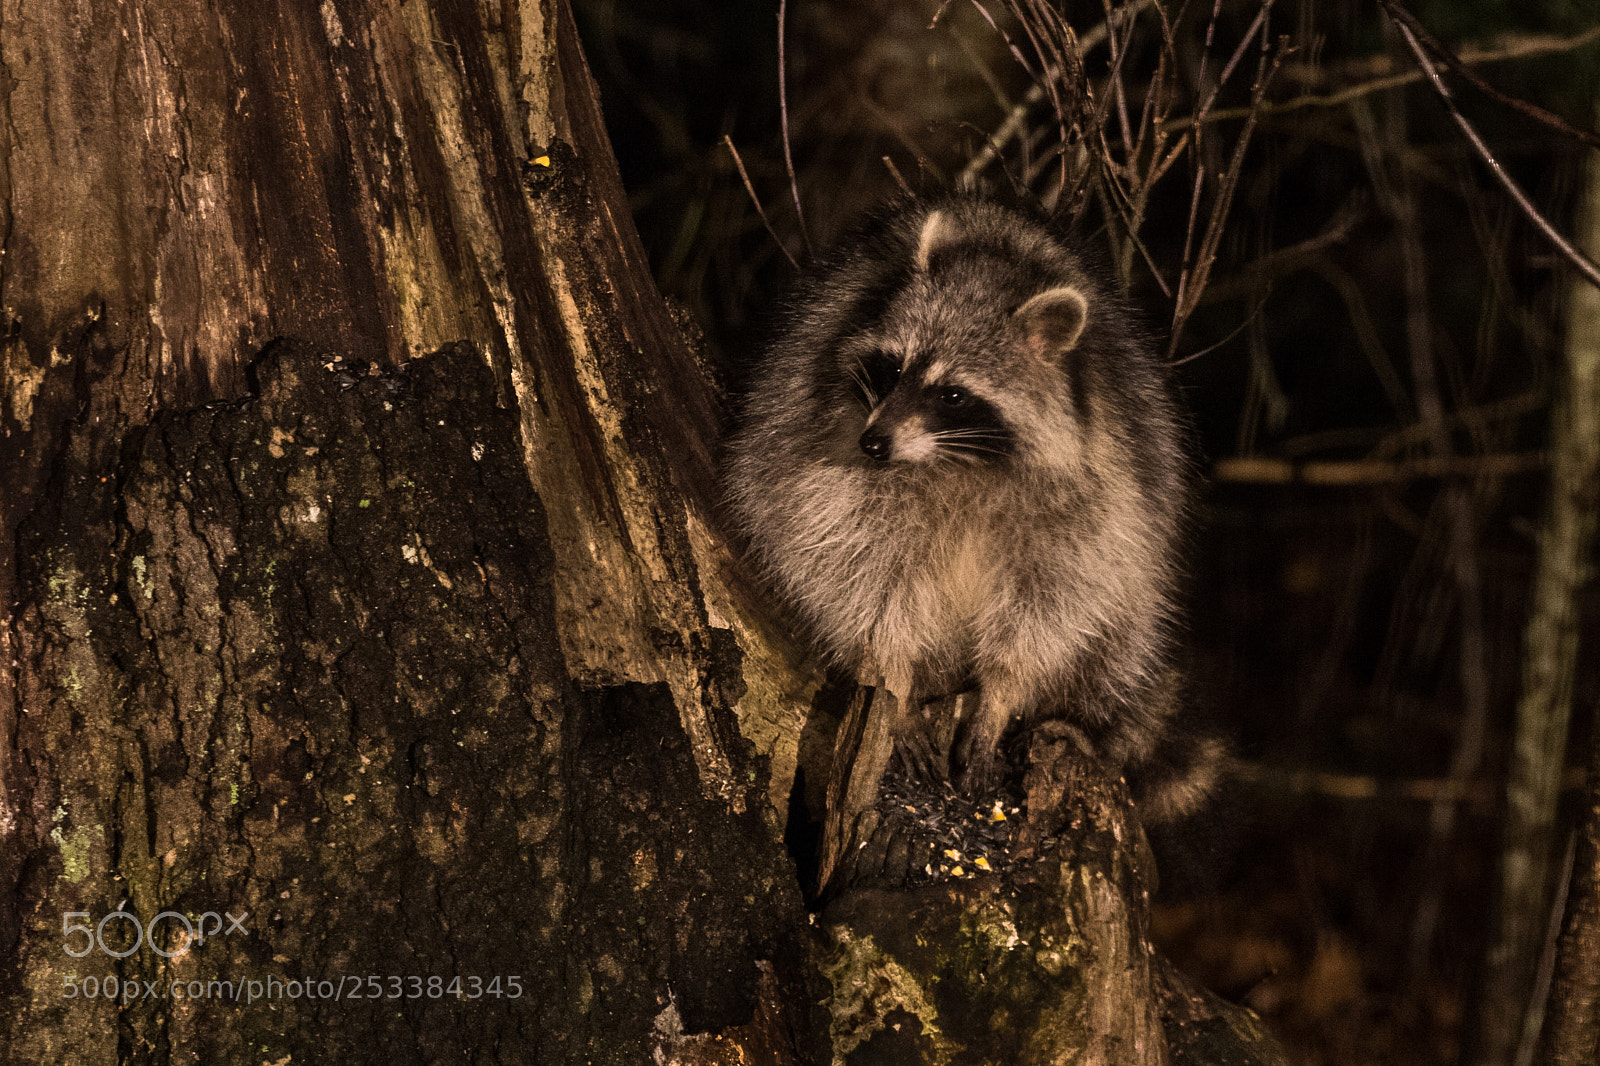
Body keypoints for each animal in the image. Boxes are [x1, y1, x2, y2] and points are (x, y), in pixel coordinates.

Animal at [725, 196, 1201, 852]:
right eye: (893, 367)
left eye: (952, 394)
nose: (873, 443)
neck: (956, 462)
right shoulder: (828, 468)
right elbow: (863, 585)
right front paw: (897, 687)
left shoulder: (1101, 497)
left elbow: (1050, 609)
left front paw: (1000, 697)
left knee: (1120, 634)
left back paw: (1076, 721)